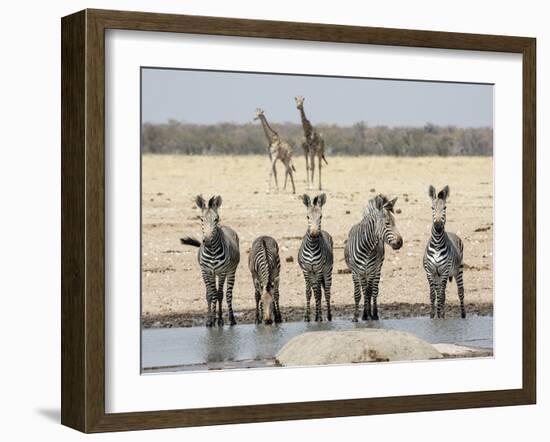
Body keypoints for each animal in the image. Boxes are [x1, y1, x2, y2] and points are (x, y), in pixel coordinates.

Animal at [181, 195, 242, 326]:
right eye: (201, 219)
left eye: (216, 219)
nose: (208, 241)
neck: (212, 251)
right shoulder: (206, 271)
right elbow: (210, 295)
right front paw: (210, 319)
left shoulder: (222, 272)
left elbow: (219, 294)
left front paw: (218, 319)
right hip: (211, 274)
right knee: (212, 293)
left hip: (231, 271)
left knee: (227, 294)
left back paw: (230, 319)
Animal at [300, 193, 334, 322]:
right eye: (307, 217)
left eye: (321, 216)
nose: (314, 234)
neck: (312, 247)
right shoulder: (306, 270)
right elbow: (308, 292)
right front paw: (307, 316)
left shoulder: (319, 269)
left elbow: (319, 293)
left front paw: (319, 317)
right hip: (312, 274)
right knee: (315, 291)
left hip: (327, 271)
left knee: (326, 292)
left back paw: (328, 316)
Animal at [344, 193, 406, 322]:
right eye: (387, 223)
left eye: (395, 222)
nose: (400, 243)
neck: (367, 248)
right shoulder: (358, 272)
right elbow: (359, 294)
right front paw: (358, 316)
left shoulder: (372, 270)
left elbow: (369, 292)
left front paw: (368, 315)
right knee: (364, 290)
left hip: (377, 269)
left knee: (374, 291)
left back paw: (374, 314)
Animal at [426, 185, 466, 320]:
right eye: (432, 208)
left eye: (445, 208)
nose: (438, 227)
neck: (437, 244)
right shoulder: (430, 272)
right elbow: (433, 295)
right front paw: (433, 316)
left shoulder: (444, 272)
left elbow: (441, 296)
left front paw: (439, 317)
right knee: (440, 293)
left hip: (459, 270)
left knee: (460, 291)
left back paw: (463, 315)